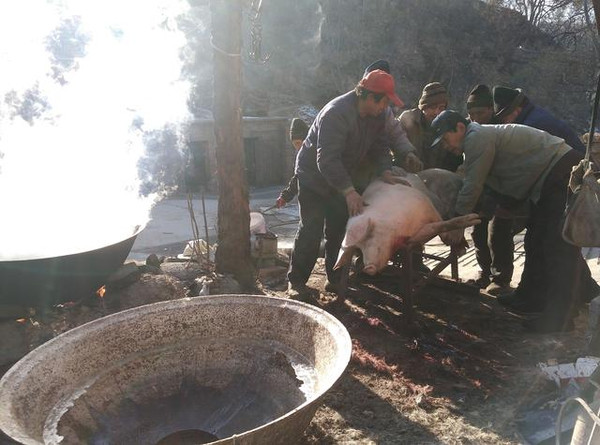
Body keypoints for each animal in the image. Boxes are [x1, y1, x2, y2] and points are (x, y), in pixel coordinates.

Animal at [336, 169, 480, 274]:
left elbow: (441, 224)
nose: (367, 268)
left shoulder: (426, 204)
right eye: (358, 248)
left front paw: (475, 219)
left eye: (370, 235)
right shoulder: (414, 236)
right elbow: (433, 228)